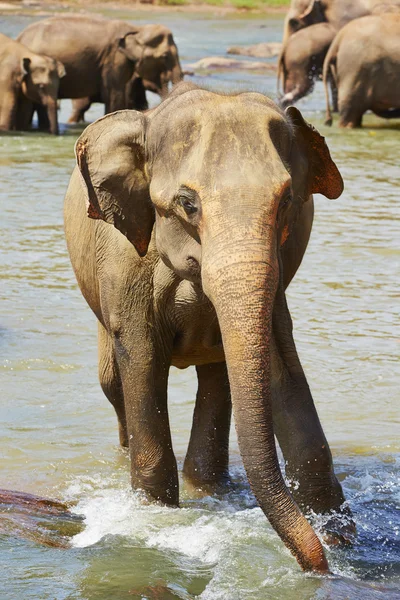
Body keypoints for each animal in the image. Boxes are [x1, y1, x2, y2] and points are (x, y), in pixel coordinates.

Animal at [64, 82, 354, 576]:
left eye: (287, 202)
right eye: (188, 204)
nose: (319, 565)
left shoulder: (273, 279)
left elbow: (281, 364)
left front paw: (341, 534)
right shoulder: (124, 265)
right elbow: (141, 358)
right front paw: (152, 517)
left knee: (218, 378)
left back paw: (208, 486)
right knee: (112, 382)